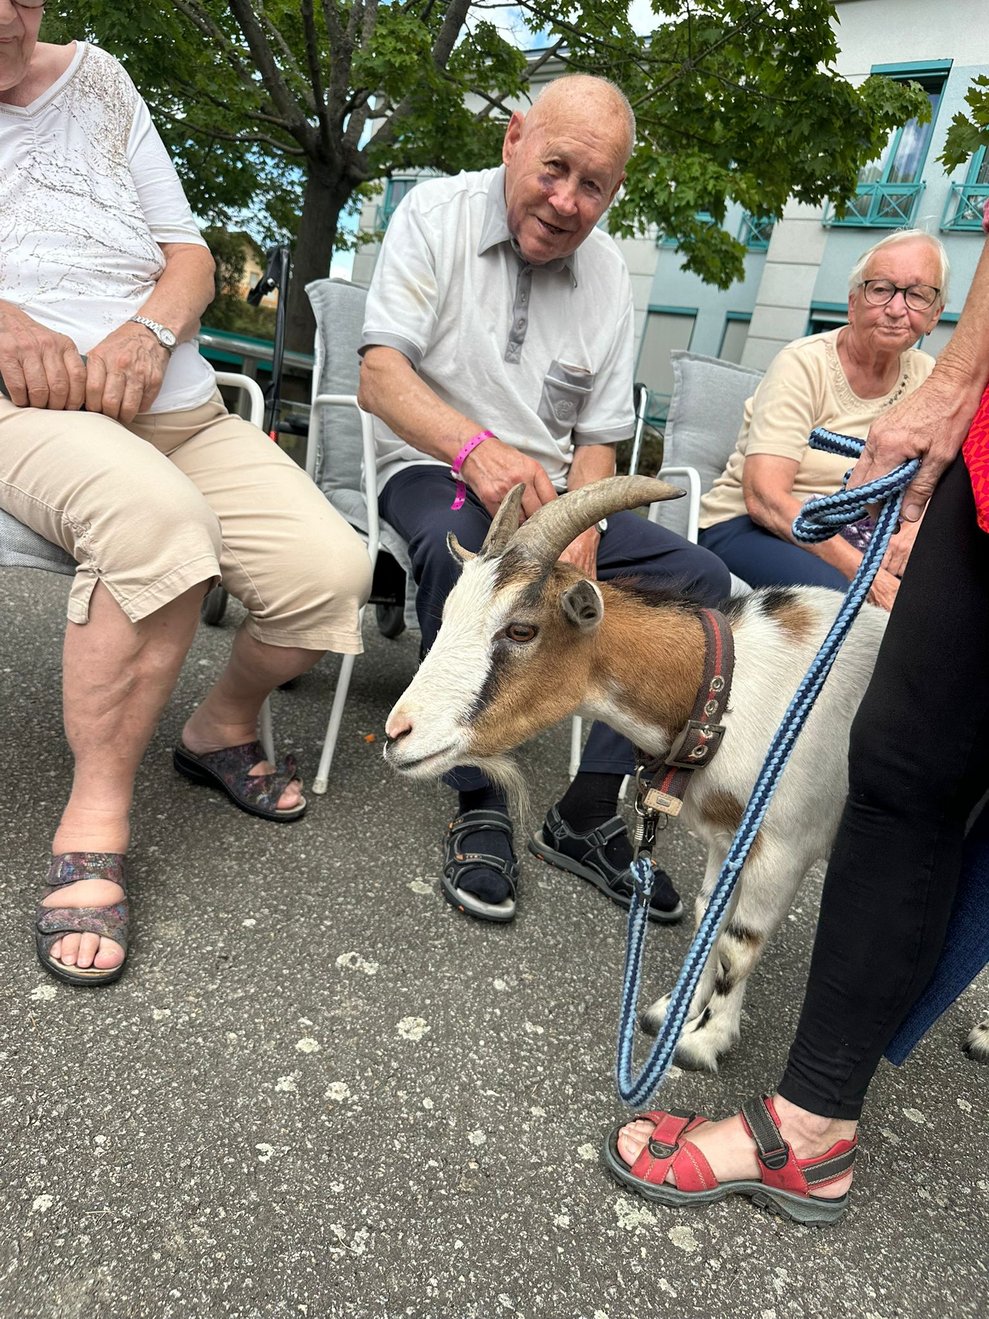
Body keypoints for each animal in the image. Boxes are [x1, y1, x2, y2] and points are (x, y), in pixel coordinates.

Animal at [384, 476, 988, 1070]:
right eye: (449, 613)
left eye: (522, 630)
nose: (398, 733)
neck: (730, 688)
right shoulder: (729, 837)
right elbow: (708, 917)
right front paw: (673, 1015)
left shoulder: (786, 843)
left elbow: (741, 940)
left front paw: (704, 1041)